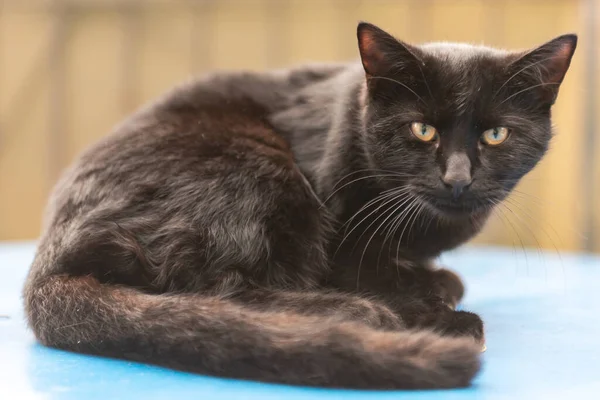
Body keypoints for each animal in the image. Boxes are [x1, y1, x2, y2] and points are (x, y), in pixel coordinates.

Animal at [22, 22, 576, 390]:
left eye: (496, 134)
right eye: (422, 129)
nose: (457, 178)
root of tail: (50, 255)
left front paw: (434, 278)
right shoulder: (343, 243)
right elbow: (368, 271)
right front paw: (429, 302)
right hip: (259, 170)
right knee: (214, 289)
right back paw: (360, 315)